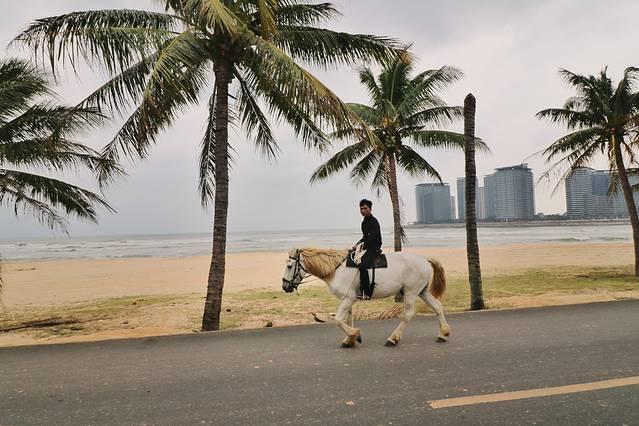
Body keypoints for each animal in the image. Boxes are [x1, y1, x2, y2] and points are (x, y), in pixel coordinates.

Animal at [280, 248, 450, 348]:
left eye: (289, 266)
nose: (285, 286)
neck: (337, 269)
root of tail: (424, 259)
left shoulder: (348, 299)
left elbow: (338, 320)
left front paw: (354, 334)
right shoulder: (348, 300)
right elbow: (347, 319)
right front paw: (350, 339)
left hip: (410, 293)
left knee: (408, 315)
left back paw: (393, 338)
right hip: (422, 292)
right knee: (437, 306)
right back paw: (443, 334)